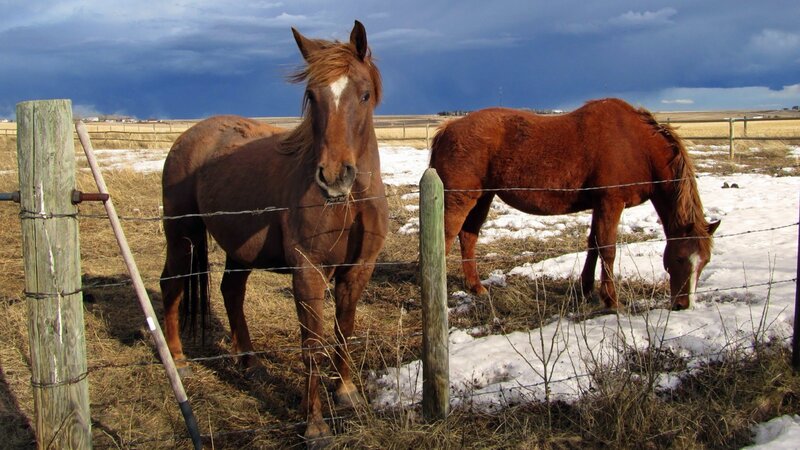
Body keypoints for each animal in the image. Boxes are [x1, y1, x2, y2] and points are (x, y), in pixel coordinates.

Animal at [159, 20, 387, 445]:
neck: (351, 201)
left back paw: (250, 364)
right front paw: (314, 425)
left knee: (231, 292)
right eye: (312, 96)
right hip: (181, 234)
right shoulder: (308, 271)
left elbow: (344, 329)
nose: (334, 177)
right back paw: (178, 360)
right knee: (172, 284)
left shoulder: (358, 269)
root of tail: (189, 136)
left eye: (364, 94)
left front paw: (347, 392)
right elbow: (312, 343)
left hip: (238, 249)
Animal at [429, 99, 720, 311]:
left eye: (705, 262)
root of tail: (447, 130)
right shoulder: (611, 203)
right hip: (460, 200)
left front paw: (586, 288)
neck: (637, 145)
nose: (684, 305)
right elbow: (608, 249)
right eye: (680, 258)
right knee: (445, 238)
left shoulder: (599, 206)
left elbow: (593, 244)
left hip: (483, 197)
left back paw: (476, 287)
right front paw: (611, 301)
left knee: (468, 237)